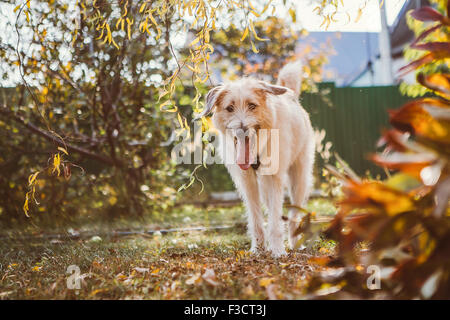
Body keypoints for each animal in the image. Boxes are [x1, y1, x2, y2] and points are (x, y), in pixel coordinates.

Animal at [199, 61, 314, 258]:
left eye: (252, 106)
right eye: (230, 108)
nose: (242, 130)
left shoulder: (275, 178)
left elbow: (275, 220)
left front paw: (278, 250)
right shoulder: (247, 181)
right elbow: (255, 218)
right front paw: (258, 249)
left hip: (299, 179)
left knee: (292, 214)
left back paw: (294, 243)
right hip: (265, 186)